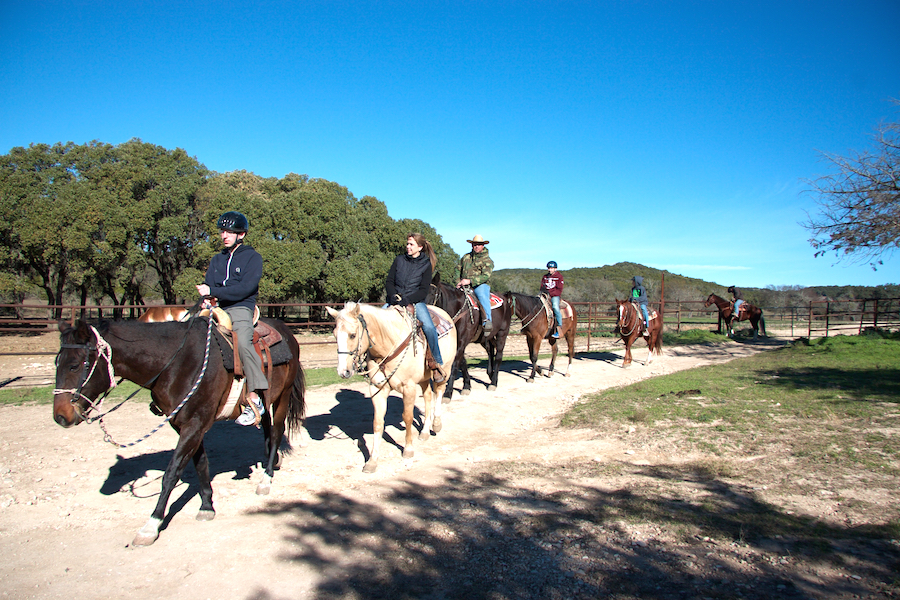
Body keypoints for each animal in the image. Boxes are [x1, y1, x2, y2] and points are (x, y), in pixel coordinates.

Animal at [52, 316, 306, 548]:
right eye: (57, 363)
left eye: (75, 365)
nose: (61, 416)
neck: (177, 363)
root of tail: (286, 332)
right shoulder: (186, 425)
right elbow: (200, 463)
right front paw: (206, 505)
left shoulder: (194, 424)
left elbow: (171, 473)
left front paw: (151, 525)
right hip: (267, 397)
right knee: (266, 425)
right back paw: (272, 460)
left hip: (283, 396)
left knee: (276, 431)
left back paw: (266, 479)